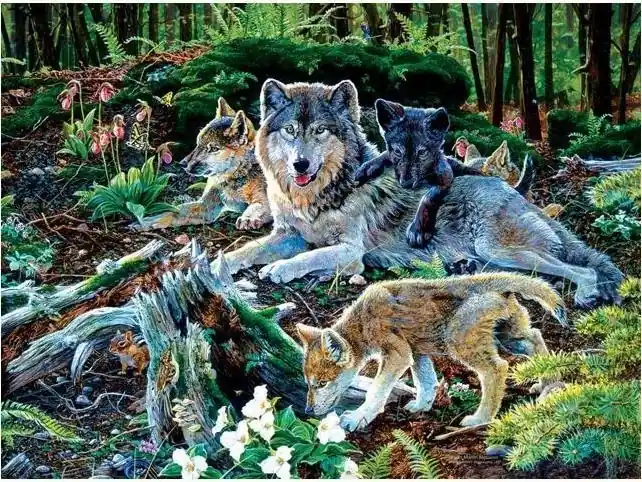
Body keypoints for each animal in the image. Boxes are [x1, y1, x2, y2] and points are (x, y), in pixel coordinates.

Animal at [134, 98, 272, 231]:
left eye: (213, 149)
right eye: (198, 143)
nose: (182, 164)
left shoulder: (264, 201)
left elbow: (256, 207)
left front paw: (248, 217)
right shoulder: (205, 206)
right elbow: (174, 212)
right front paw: (146, 221)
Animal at [216, 79, 622, 308]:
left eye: (319, 131)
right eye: (290, 131)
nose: (300, 165)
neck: (316, 195)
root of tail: (517, 194)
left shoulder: (350, 250)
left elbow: (305, 259)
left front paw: (279, 269)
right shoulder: (288, 234)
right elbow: (246, 251)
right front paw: (218, 264)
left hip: (502, 249)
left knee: (580, 269)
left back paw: (586, 294)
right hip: (499, 256)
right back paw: (463, 268)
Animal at [296, 273, 563, 431]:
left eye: (321, 384)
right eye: (308, 383)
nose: (307, 411)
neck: (362, 322)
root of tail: (496, 283)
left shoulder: (397, 354)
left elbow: (376, 391)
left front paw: (356, 418)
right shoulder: (416, 352)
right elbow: (425, 382)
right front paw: (421, 407)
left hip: (461, 342)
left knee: (497, 369)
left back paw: (480, 419)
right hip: (508, 335)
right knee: (535, 339)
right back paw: (549, 386)